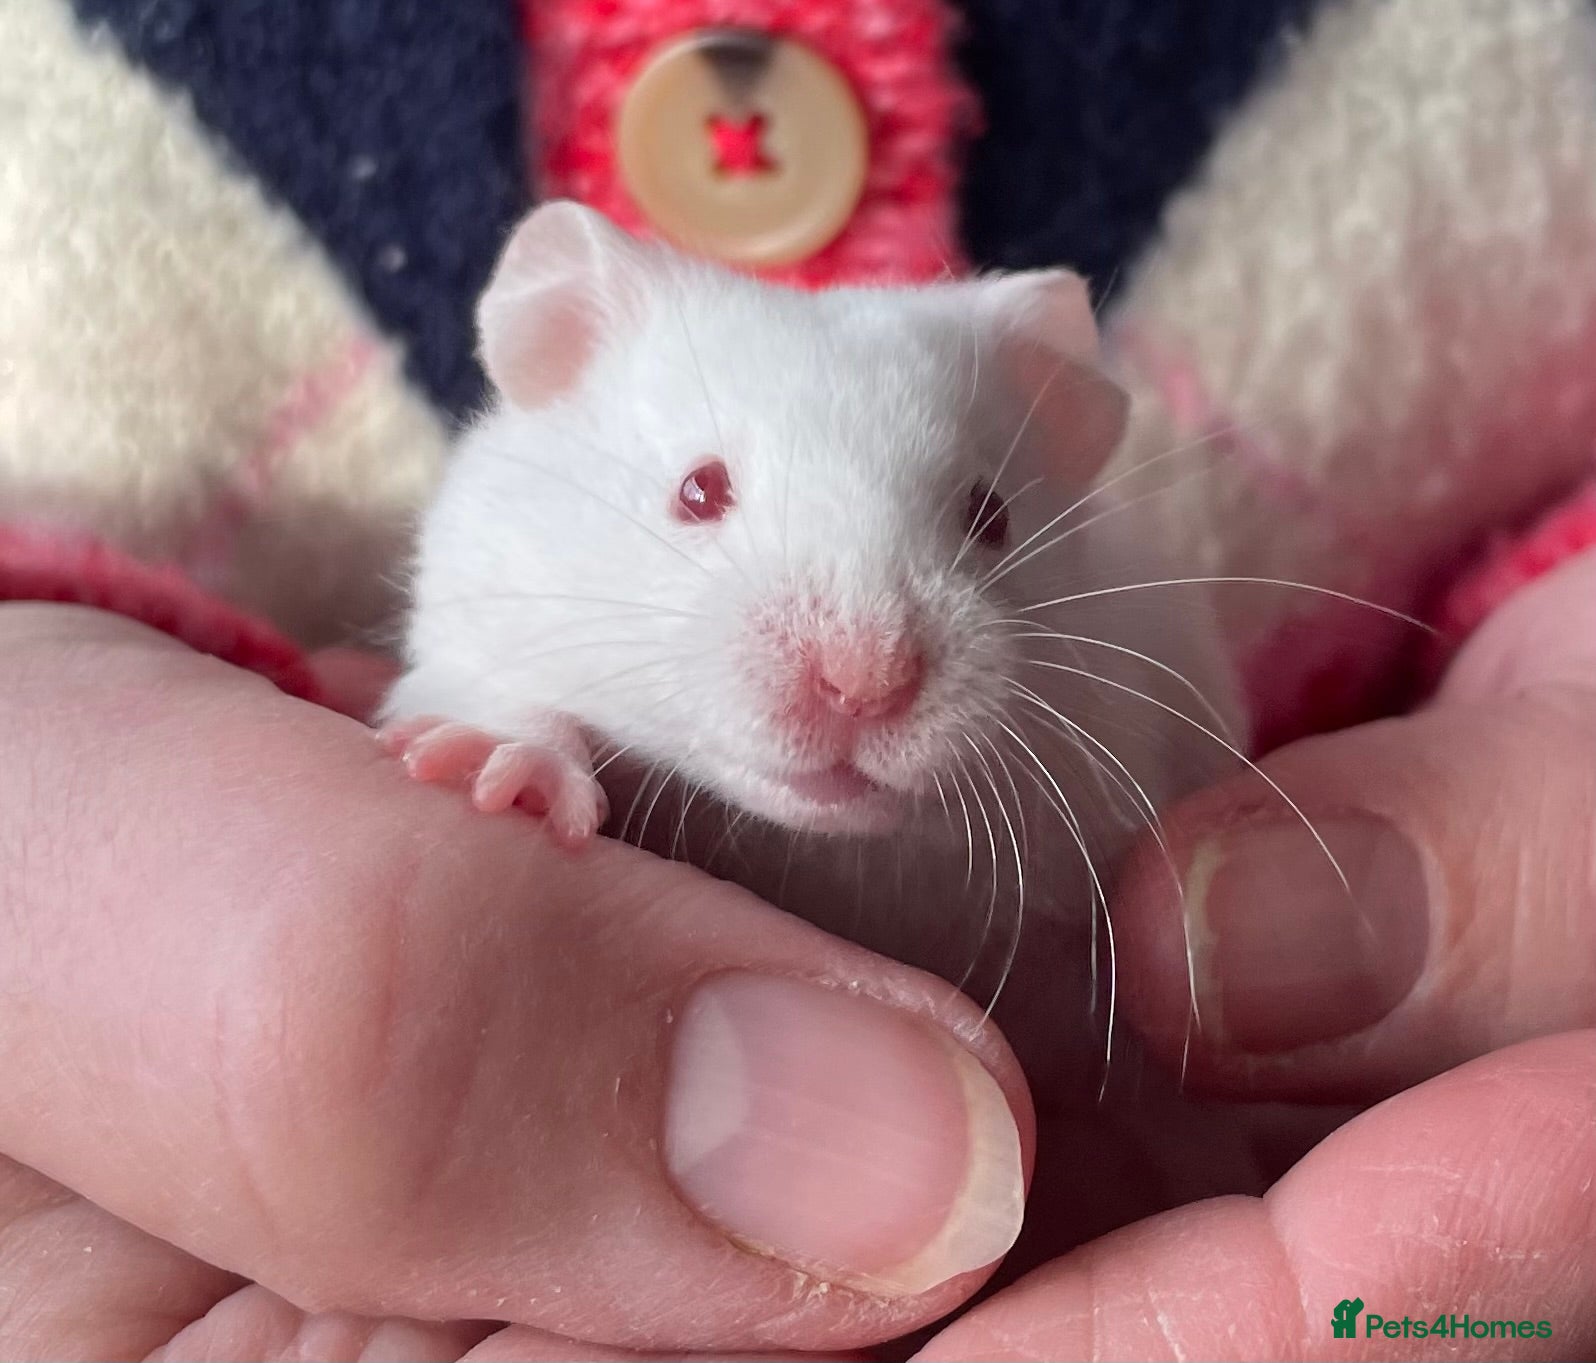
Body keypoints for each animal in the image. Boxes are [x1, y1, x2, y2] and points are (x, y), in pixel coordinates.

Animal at [381, 201, 1247, 1077]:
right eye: (698, 490)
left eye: (991, 514)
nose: (864, 686)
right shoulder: (473, 616)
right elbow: (489, 698)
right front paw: (494, 772)